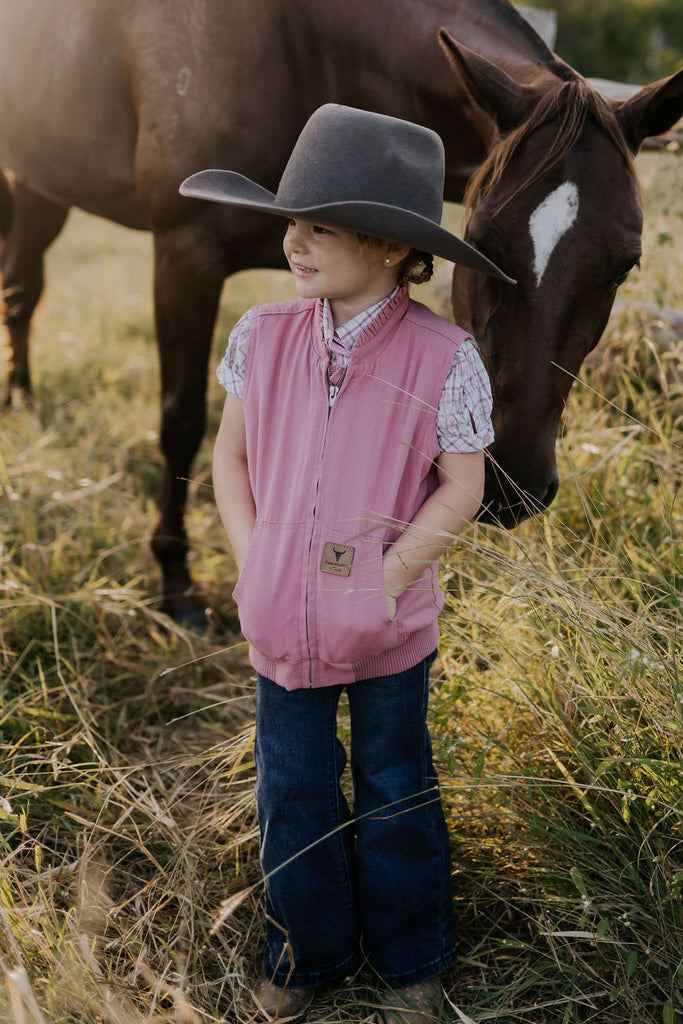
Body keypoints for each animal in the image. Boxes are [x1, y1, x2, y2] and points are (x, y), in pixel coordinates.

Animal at [0, 0, 679, 618]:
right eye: (483, 241)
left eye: (626, 265)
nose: (511, 484)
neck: (301, 45)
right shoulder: (185, 253)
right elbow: (182, 421)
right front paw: (176, 581)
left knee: (22, 293)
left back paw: (23, 402)